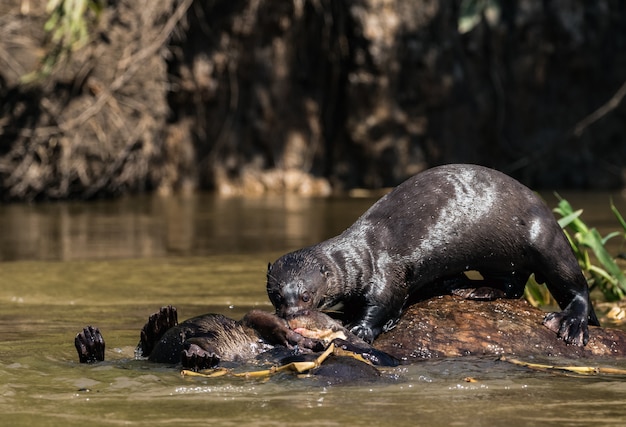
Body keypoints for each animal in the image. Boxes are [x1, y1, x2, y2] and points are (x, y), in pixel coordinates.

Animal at [266, 164, 596, 348]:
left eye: (306, 295)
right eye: (277, 296)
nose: (291, 314)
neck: (360, 257)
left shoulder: (386, 272)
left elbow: (385, 302)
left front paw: (361, 327)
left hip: (547, 239)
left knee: (575, 285)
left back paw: (570, 324)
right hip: (502, 261)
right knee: (513, 285)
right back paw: (473, 289)